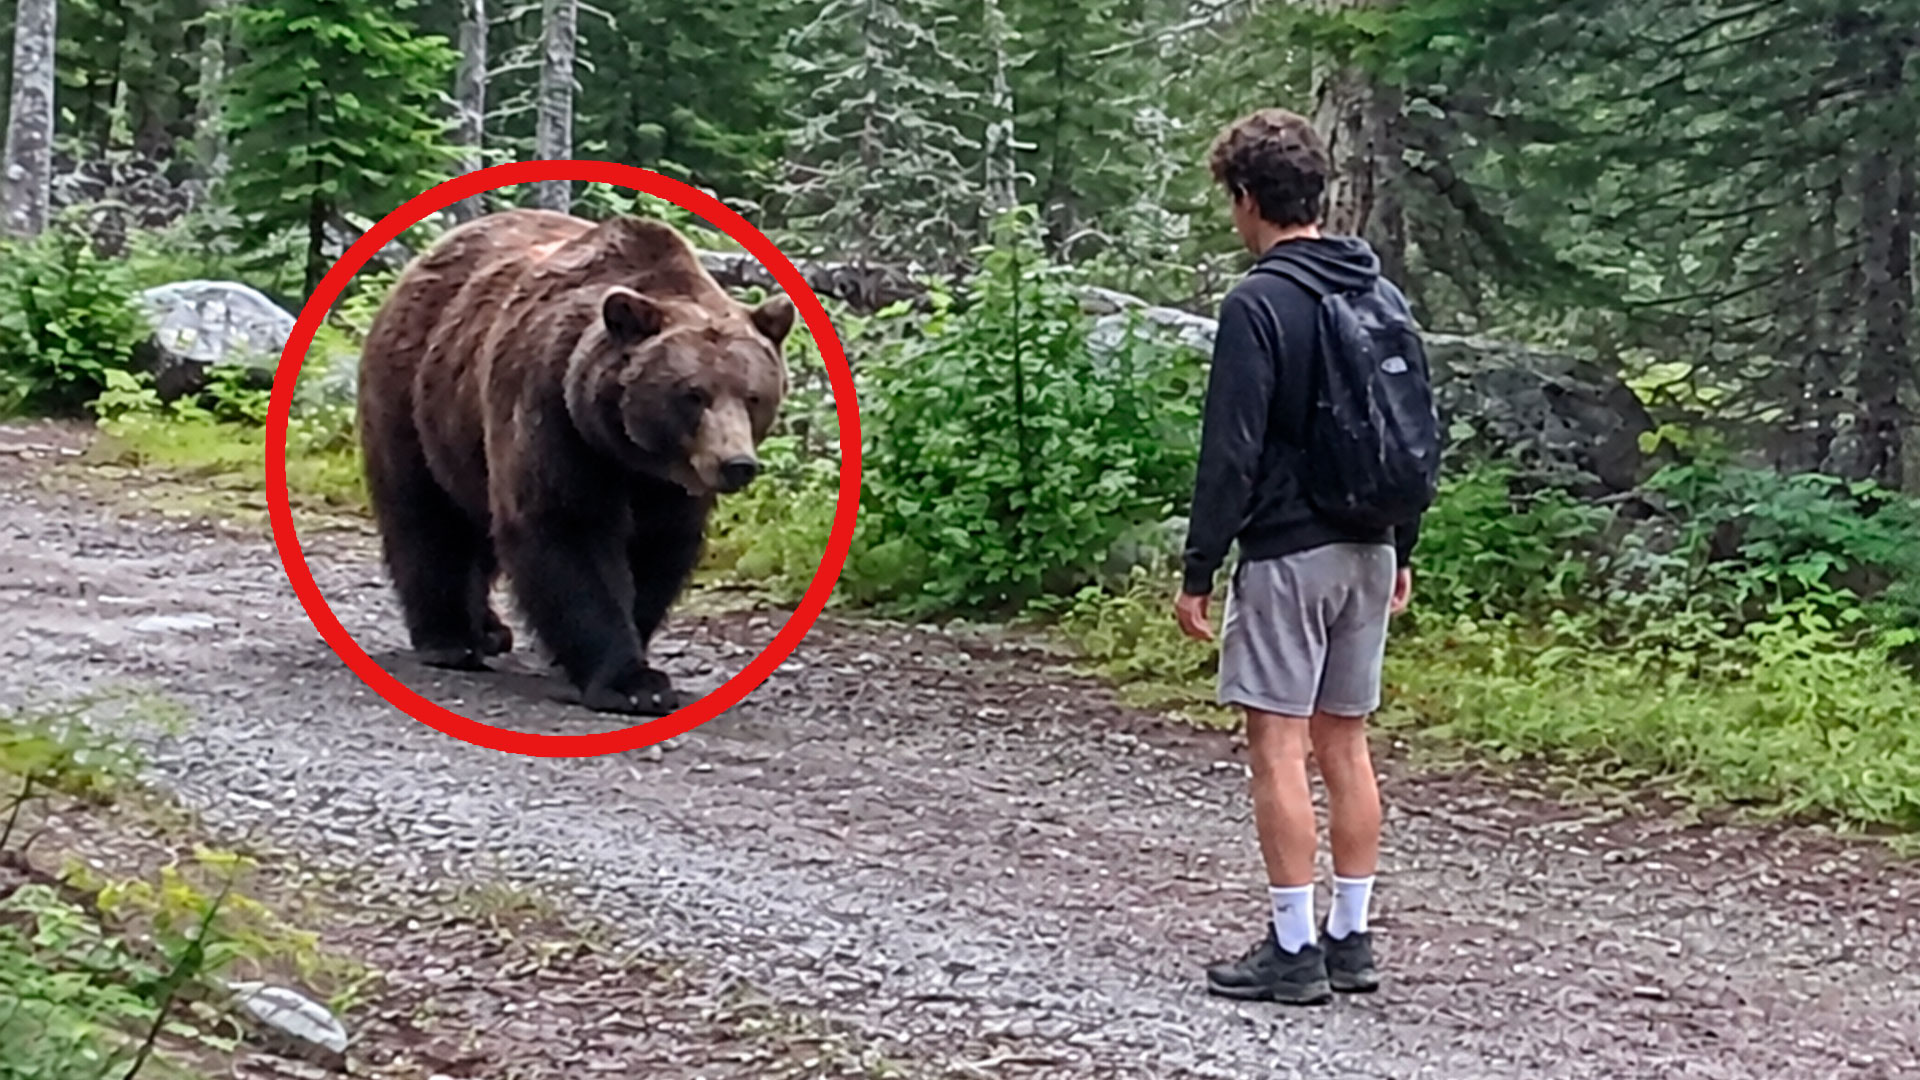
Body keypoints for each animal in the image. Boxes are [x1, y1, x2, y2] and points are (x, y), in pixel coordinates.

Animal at [355, 208, 794, 716]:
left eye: (753, 396)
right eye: (693, 394)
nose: (735, 463)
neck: (629, 452)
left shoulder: (668, 486)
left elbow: (658, 548)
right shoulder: (552, 416)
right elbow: (567, 530)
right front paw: (631, 681)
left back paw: (489, 630)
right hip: (414, 397)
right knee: (426, 516)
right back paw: (450, 639)